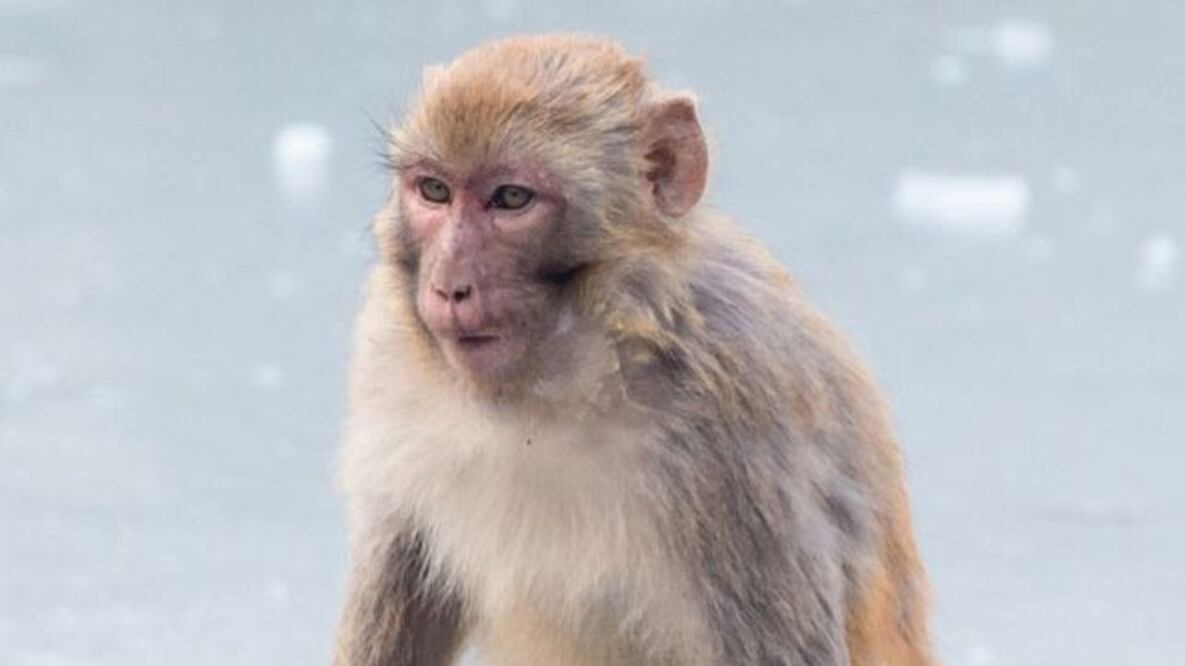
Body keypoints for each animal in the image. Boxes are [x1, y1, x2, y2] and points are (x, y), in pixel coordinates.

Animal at [334, 34, 935, 666]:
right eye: (434, 190)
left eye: (511, 198)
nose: (449, 285)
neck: (558, 386)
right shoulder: (386, 368)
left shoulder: (740, 435)